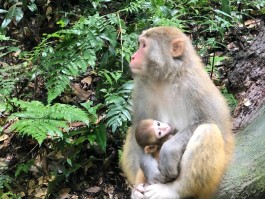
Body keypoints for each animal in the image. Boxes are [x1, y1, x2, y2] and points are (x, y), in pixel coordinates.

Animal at [120, 26, 233, 199]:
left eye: (144, 45)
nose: (132, 57)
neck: (166, 78)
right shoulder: (141, 87)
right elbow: (139, 124)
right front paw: (150, 169)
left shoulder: (194, 85)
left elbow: (212, 122)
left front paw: (169, 149)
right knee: (132, 131)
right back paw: (137, 190)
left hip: (215, 178)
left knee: (208, 131)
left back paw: (172, 191)